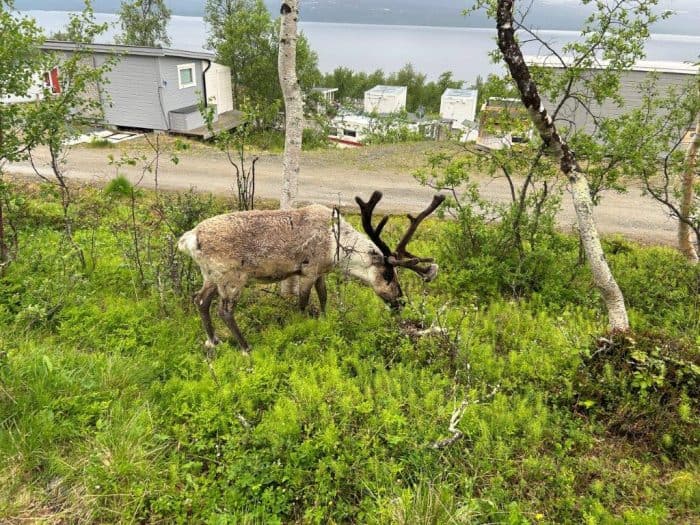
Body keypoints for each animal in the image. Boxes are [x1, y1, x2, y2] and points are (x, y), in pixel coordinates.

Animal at [178, 191, 445, 352]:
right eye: (388, 275)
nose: (400, 302)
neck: (335, 246)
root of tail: (191, 238)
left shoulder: (321, 272)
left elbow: (324, 296)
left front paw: (325, 320)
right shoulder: (307, 270)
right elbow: (303, 302)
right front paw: (300, 325)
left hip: (210, 276)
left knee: (200, 300)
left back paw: (213, 341)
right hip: (232, 278)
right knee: (224, 310)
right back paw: (245, 347)